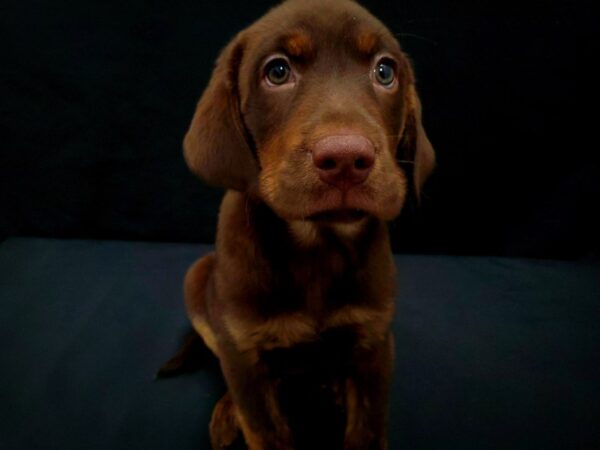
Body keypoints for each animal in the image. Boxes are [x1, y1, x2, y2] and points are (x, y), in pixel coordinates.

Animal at [179, 0, 436, 450]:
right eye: (278, 71)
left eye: (385, 72)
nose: (347, 158)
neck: (317, 244)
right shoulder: (244, 355)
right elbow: (263, 428)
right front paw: (239, 413)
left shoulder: (374, 344)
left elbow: (367, 431)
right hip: (198, 280)